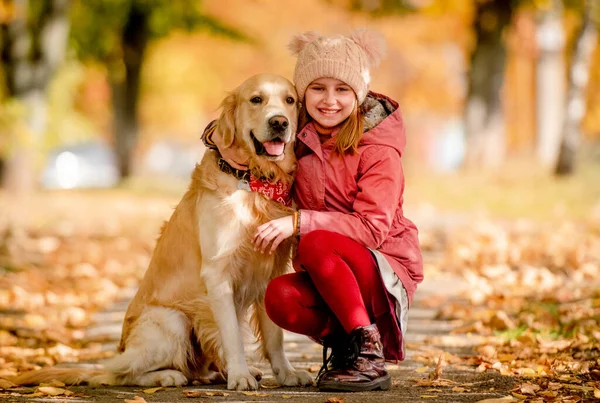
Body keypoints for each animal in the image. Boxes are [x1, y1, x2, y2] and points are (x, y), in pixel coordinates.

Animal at [14, 73, 314, 392]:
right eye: (256, 99)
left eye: (290, 100)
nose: (280, 122)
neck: (253, 181)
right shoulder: (217, 273)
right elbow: (232, 335)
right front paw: (240, 375)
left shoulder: (270, 270)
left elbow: (275, 335)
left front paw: (287, 373)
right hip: (172, 319)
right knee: (120, 372)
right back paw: (169, 376)